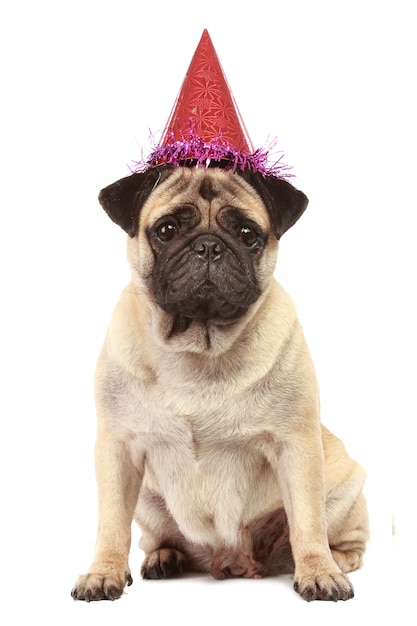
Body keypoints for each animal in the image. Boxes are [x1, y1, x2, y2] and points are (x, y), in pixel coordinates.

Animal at [70, 165, 368, 600]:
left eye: (247, 234)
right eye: (167, 230)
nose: (209, 246)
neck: (200, 345)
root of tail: (232, 561)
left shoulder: (296, 446)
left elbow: (307, 521)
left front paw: (319, 572)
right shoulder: (118, 450)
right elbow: (111, 524)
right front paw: (103, 572)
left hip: (345, 486)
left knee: (340, 538)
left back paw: (331, 561)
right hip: (147, 499)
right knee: (156, 538)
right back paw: (165, 558)